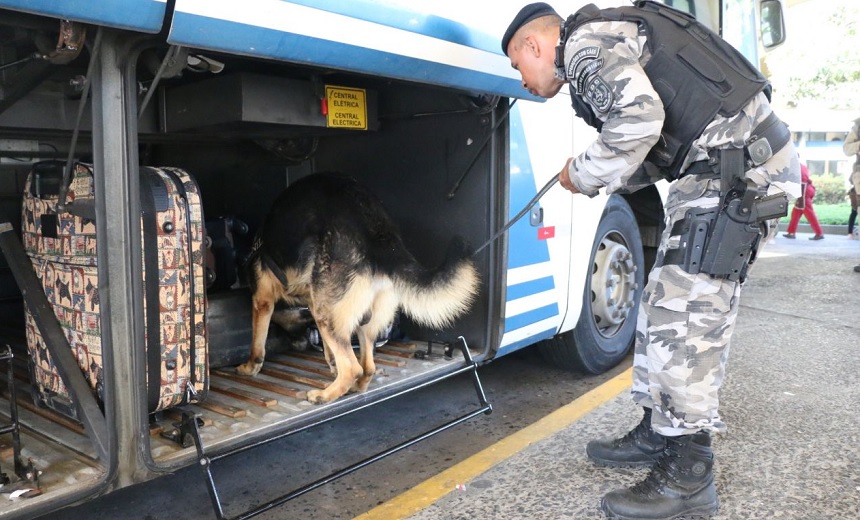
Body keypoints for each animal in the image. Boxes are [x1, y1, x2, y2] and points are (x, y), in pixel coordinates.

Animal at [239, 173, 480, 404]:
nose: (298, 343)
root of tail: (379, 232)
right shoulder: (314, 304)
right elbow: (329, 351)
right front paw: (331, 363)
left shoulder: (263, 301)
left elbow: (257, 343)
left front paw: (250, 367)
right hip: (363, 317)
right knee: (367, 366)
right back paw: (355, 387)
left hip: (327, 314)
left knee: (352, 368)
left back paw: (325, 395)